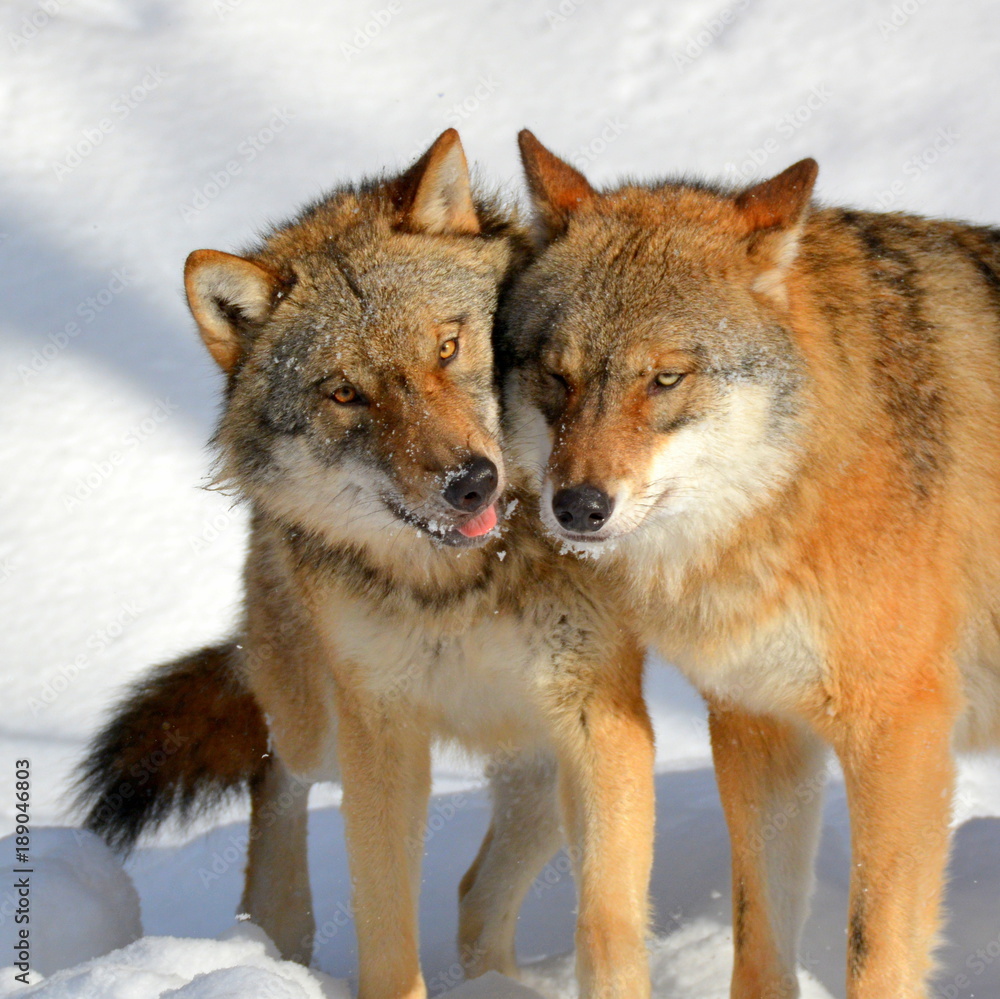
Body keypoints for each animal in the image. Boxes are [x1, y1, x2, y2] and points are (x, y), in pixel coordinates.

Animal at [75, 130, 655, 999]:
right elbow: (385, 925)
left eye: (448, 345)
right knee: (274, 771)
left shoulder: (600, 720)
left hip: (536, 769)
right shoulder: (381, 731)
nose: (471, 480)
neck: (463, 585)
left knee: (474, 895)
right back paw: (273, 937)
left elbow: (609, 918)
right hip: (319, 720)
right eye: (347, 393)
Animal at [491, 130, 1000, 999]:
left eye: (665, 377)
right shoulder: (757, 727)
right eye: (558, 378)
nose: (578, 507)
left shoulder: (899, 736)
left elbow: (873, 946)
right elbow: (758, 935)